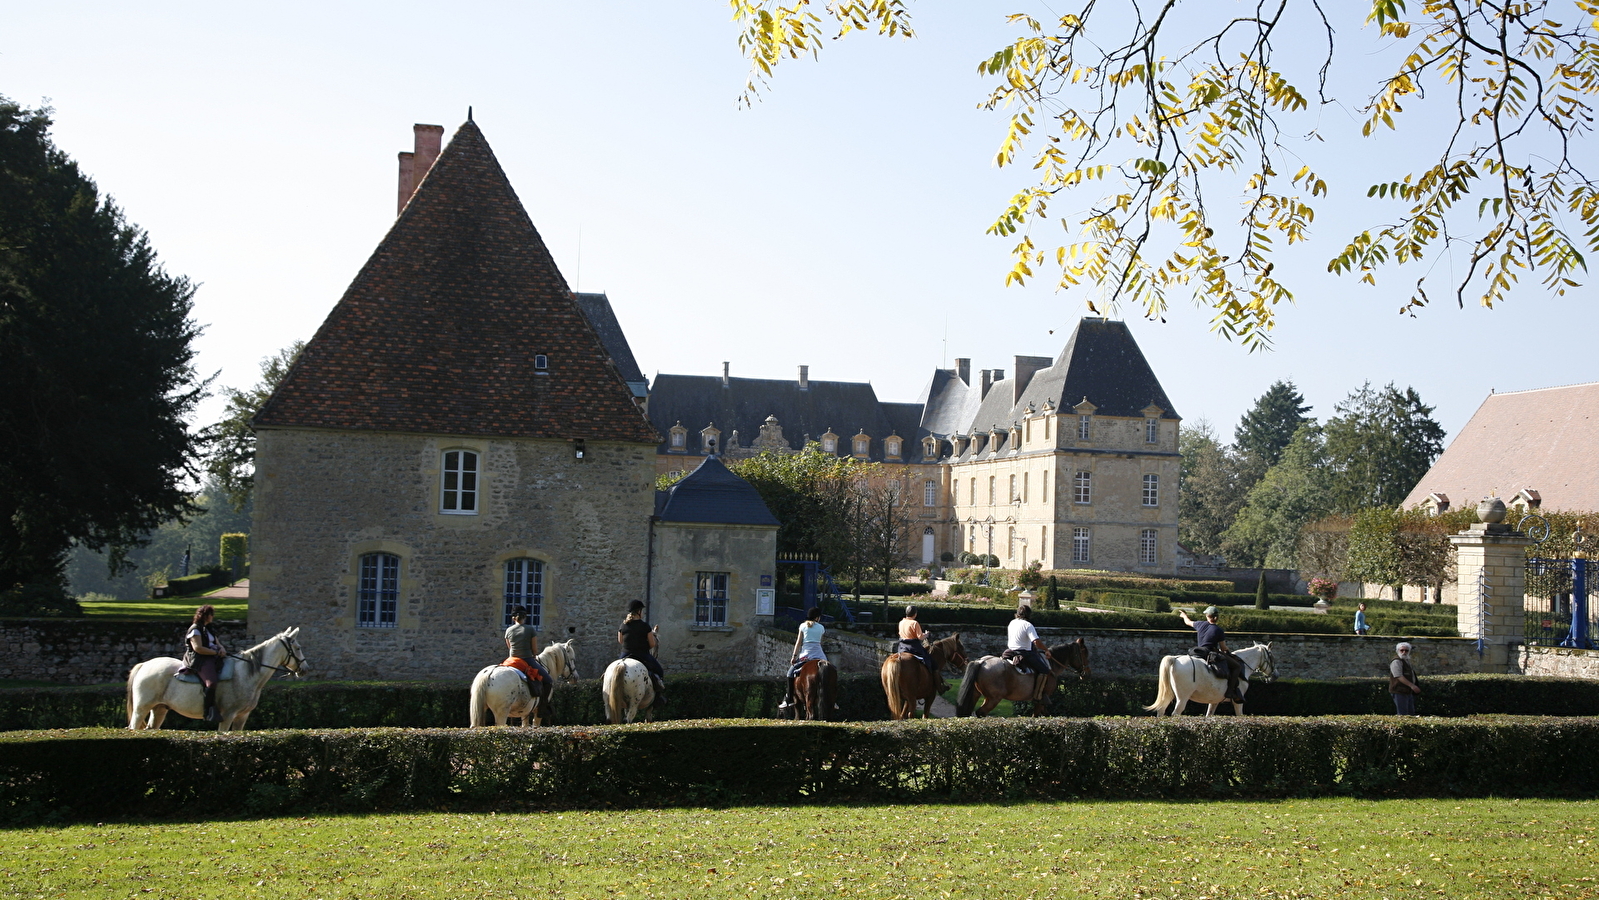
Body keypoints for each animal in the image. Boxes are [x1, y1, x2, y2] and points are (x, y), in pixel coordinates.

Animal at [126, 626, 307, 732]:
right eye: (298, 648)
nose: (305, 669)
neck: (247, 674)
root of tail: (144, 665)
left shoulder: (242, 717)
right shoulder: (227, 716)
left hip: (159, 709)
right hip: (141, 710)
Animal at [953, 639, 1093, 719]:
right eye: (1084, 653)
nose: (1087, 673)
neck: (1051, 665)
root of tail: (982, 661)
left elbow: (1046, 714)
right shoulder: (1042, 699)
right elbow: (1036, 715)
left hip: (974, 694)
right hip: (993, 699)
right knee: (980, 713)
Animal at [1144, 639, 1279, 719]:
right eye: (1272, 657)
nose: (1275, 675)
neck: (1243, 665)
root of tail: (1175, 659)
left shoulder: (1214, 701)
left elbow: (1209, 715)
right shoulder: (1238, 701)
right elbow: (1240, 715)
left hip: (1169, 695)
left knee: (1161, 711)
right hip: (1182, 698)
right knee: (1176, 713)